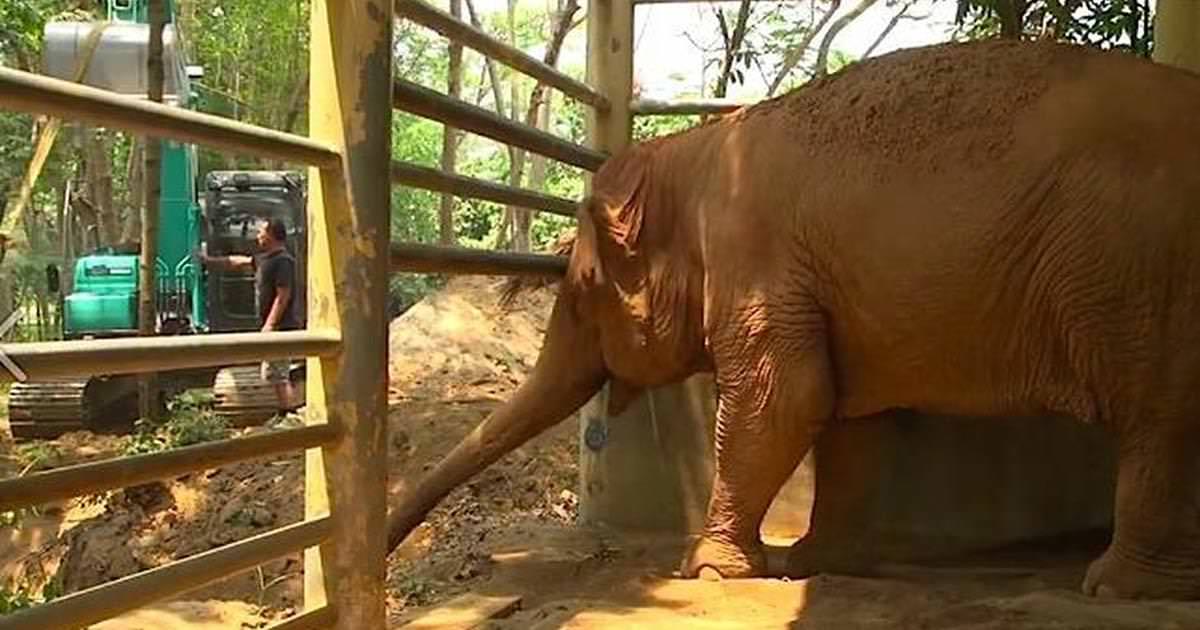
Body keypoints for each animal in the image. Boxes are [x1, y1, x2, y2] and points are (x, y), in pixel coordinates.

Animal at [385, 38, 1200, 600]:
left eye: (582, 289)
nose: (390, 552)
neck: (692, 158)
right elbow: (846, 419)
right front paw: (817, 562)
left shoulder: (755, 257)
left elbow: (784, 401)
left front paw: (705, 571)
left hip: (1147, 274)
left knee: (1159, 417)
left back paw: (1120, 586)